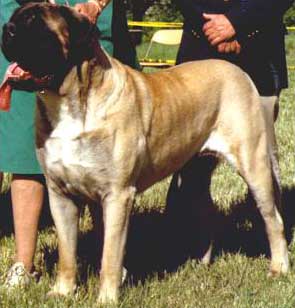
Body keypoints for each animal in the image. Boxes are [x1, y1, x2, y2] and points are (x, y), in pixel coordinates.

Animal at [0, 2, 290, 304]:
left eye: (37, 24)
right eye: (15, 18)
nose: (7, 29)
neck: (73, 103)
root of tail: (236, 70)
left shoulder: (117, 195)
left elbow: (110, 256)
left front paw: (106, 299)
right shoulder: (60, 194)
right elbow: (67, 252)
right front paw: (62, 292)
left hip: (255, 165)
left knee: (273, 219)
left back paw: (278, 267)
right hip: (194, 169)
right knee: (207, 209)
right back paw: (202, 262)